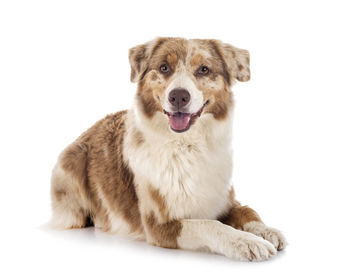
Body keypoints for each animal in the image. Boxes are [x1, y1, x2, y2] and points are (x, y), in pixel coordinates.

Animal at [51, 37, 288, 260]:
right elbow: (210, 224)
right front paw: (247, 242)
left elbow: (248, 211)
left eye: (204, 69)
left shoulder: (224, 200)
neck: (188, 146)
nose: (179, 96)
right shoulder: (160, 225)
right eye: (164, 67)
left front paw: (266, 231)